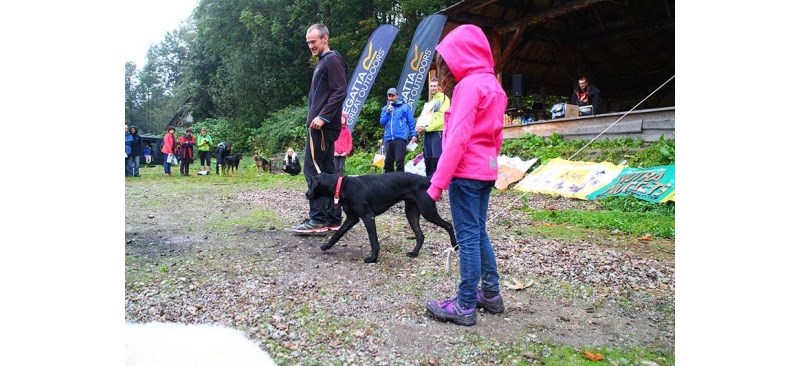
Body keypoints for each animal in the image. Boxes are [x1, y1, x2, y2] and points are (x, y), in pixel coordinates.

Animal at [306, 172, 456, 264]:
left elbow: (374, 241)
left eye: (310, 184)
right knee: (420, 235)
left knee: (449, 225)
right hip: (411, 213)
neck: (342, 186)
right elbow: (337, 234)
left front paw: (373, 258)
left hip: (427, 211)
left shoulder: (368, 217)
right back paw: (414, 253)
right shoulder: (352, 218)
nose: (306, 194)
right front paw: (327, 246)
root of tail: (426, 179)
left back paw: (455, 245)